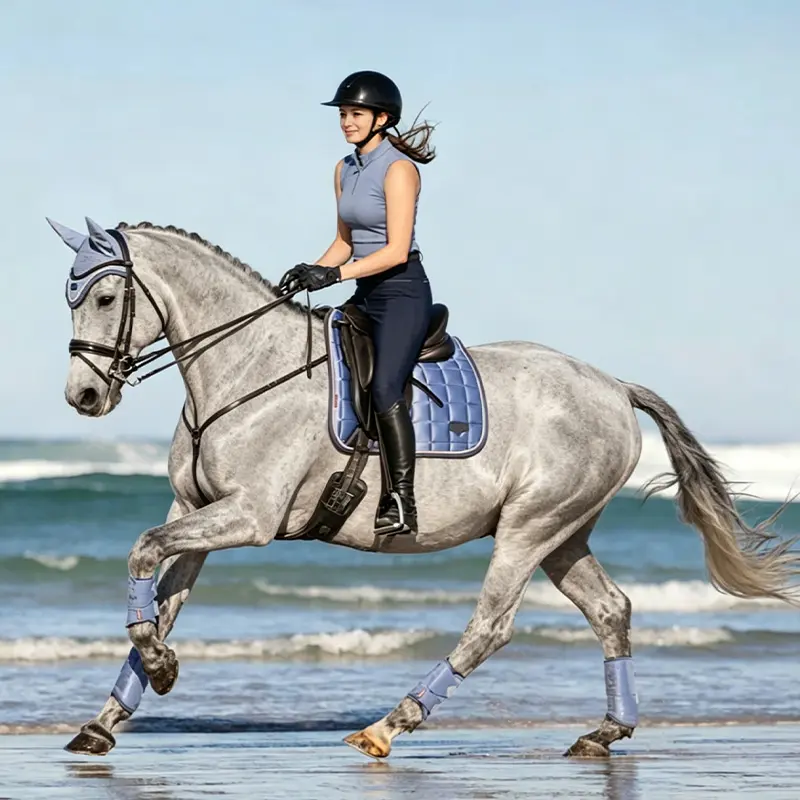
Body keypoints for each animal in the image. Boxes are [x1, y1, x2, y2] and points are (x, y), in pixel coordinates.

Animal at [49, 216, 800, 760]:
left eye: (107, 298)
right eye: (72, 300)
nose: (83, 397)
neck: (243, 371)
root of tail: (614, 386)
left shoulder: (250, 518)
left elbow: (143, 550)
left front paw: (160, 669)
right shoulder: (199, 512)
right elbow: (161, 595)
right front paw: (110, 715)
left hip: (529, 528)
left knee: (490, 627)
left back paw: (388, 726)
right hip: (564, 534)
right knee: (611, 609)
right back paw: (604, 732)